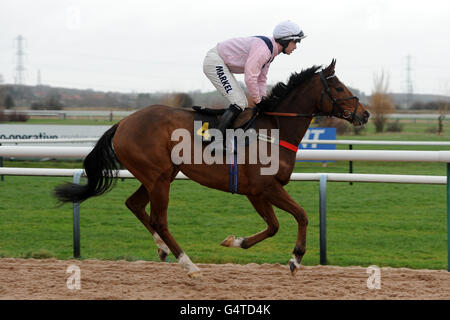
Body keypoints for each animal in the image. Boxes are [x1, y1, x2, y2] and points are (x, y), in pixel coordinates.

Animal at [54, 60, 370, 278]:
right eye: (339, 87)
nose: (365, 114)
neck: (275, 129)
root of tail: (123, 122)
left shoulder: (256, 192)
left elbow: (273, 226)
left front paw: (235, 241)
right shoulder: (264, 187)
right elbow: (301, 216)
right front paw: (295, 259)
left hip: (161, 174)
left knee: (134, 204)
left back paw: (162, 248)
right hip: (158, 178)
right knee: (158, 219)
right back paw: (189, 265)